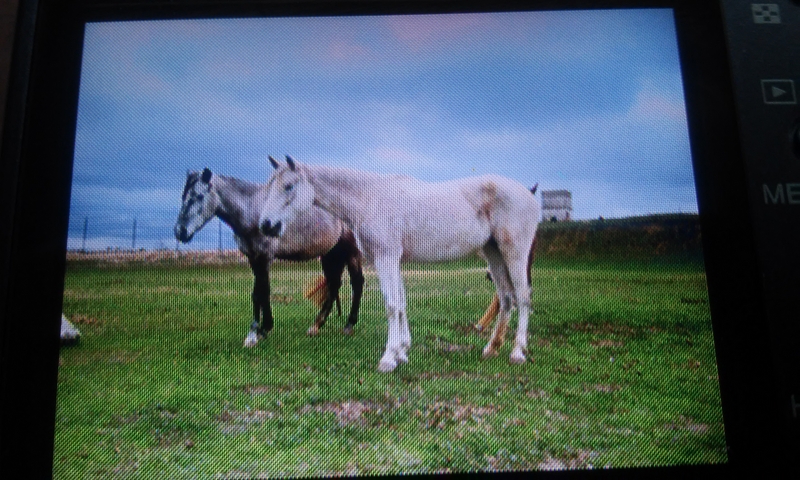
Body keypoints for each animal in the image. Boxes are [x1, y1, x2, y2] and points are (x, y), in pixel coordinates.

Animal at [174, 167, 364, 347]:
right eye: (183, 196)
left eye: (198, 196)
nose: (179, 231)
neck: (253, 209)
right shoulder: (253, 258)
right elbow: (258, 293)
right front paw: (258, 331)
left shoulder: (264, 257)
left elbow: (262, 291)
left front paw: (259, 332)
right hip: (330, 255)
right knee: (334, 285)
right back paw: (316, 326)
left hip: (351, 253)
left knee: (357, 283)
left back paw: (349, 325)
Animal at [258, 156, 540, 372]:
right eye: (270, 186)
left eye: (288, 186)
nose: (266, 225)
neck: (368, 198)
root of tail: (529, 195)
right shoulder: (393, 261)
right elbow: (401, 304)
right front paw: (402, 352)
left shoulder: (386, 258)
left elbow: (392, 306)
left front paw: (388, 358)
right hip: (494, 255)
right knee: (506, 299)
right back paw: (491, 349)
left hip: (514, 254)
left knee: (523, 297)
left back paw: (517, 352)